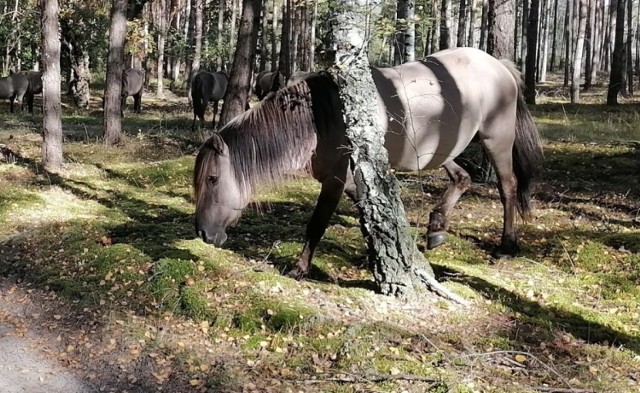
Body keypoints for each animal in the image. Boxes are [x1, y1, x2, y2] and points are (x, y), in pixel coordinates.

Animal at [192, 46, 544, 278]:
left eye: (212, 179)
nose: (202, 234)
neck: (319, 117)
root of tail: (497, 63)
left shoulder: (336, 179)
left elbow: (317, 223)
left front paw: (300, 267)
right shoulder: (349, 179)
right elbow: (371, 216)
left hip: (496, 139)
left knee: (508, 186)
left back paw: (506, 246)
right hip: (439, 148)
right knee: (462, 178)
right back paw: (436, 228)